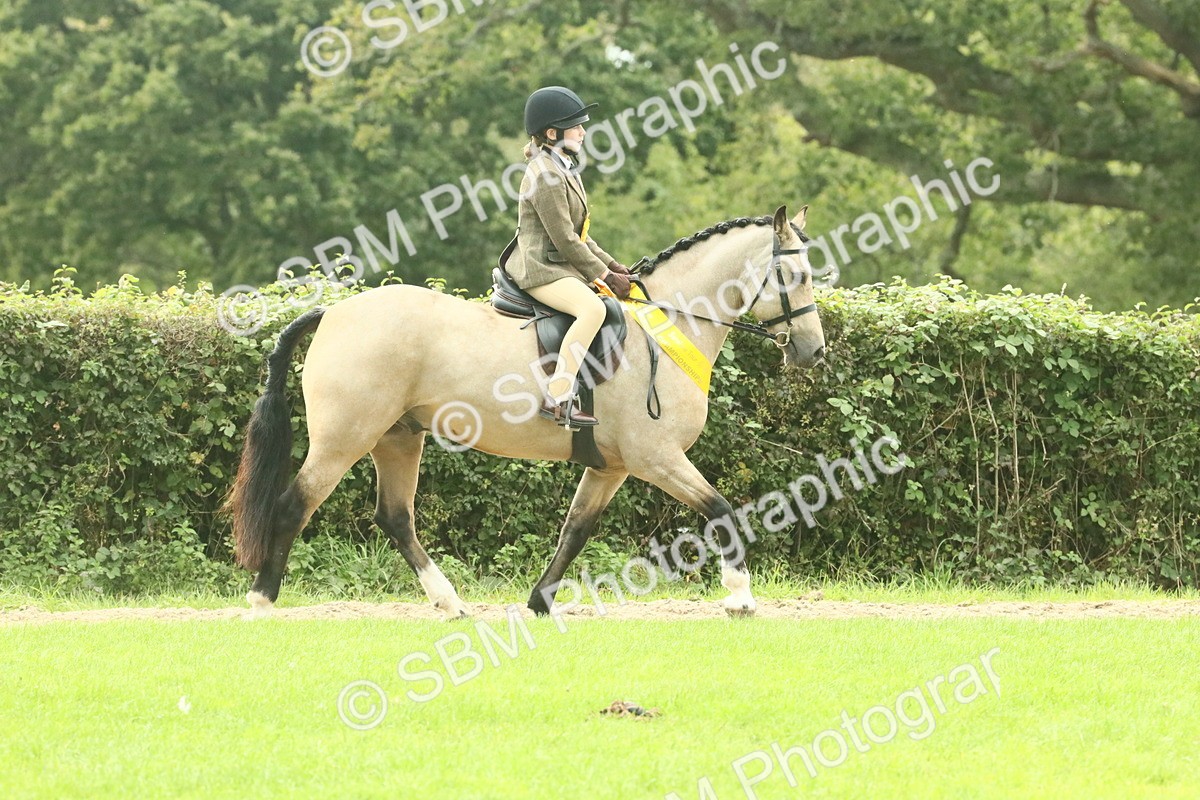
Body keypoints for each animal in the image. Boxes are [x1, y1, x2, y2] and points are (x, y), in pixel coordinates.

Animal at [230, 205, 826, 618]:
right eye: (796, 278)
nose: (813, 352)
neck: (667, 325)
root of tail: (333, 312)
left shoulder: (611, 467)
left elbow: (575, 530)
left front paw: (540, 601)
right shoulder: (656, 458)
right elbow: (720, 508)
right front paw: (740, 597)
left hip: (397, 437)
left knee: (396, 517)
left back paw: (450, 603)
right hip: (345, 438)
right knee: (294, 504)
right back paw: (262, 600)